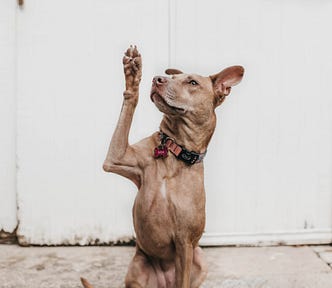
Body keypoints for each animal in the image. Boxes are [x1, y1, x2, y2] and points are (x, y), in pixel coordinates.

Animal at [82, 45, 244, 288]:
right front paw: (133, 75)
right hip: (138, 267)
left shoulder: (185, 242)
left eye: (192, 82)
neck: (174, 152)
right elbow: (129, 105)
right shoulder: (116, 157)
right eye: (172, 77)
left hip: (199, 258)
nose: (157, 79)